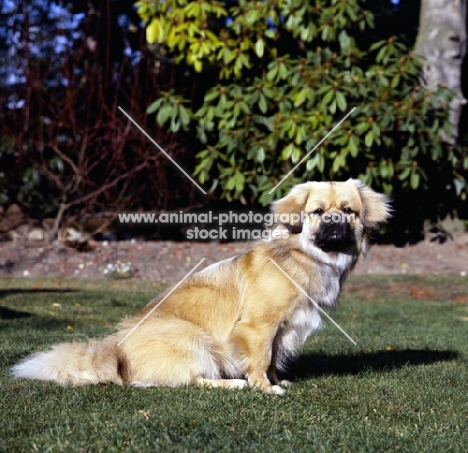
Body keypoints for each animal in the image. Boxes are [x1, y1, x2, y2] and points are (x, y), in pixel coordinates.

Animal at [11, 179, 392, 392]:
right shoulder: (259, 327)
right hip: (191, 337)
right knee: (190, 380)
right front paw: (265, 389)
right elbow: (260, 359)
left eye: (348, 211)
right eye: (318, 212)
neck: (302, 256)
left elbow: (271, 359)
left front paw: (274, 381)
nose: (334, 222)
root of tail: (116, 350)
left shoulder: (280, 329)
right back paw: (233, 384)